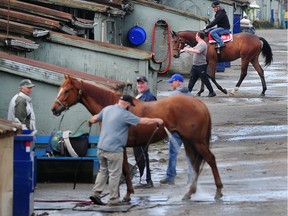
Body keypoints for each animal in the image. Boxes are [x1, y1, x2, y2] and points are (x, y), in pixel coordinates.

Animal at [50, 75, 224, 201]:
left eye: (67, 90)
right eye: (60, 89)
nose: (54, 109)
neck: (114, 106)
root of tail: (199, 104)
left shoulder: (120, 147)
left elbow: (124, 169)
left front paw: (125, 195)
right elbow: (124, 169)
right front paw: (124, 194)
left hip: (197, 141)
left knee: (210, 159)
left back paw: (218, 191)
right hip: (189, 142)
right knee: (195, 164)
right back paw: (189, 193)